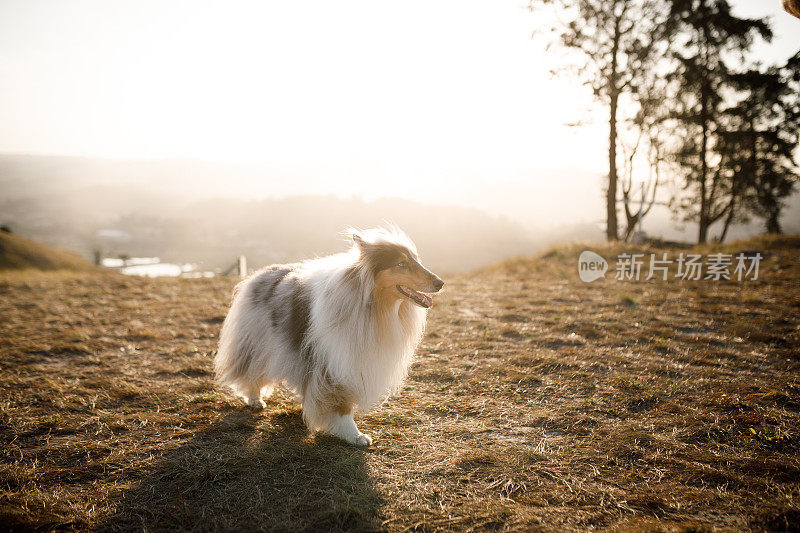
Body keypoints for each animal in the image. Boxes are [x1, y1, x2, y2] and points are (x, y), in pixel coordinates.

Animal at [212, 225, 444, 444]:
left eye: (417, 260)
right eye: (401, 264)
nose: (440, 283)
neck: (372, 304)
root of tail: (263, 272)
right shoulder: (336, 360)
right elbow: (342, 403)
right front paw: (353, 434)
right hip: (257, 341)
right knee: (252, 370)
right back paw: (255, 399)